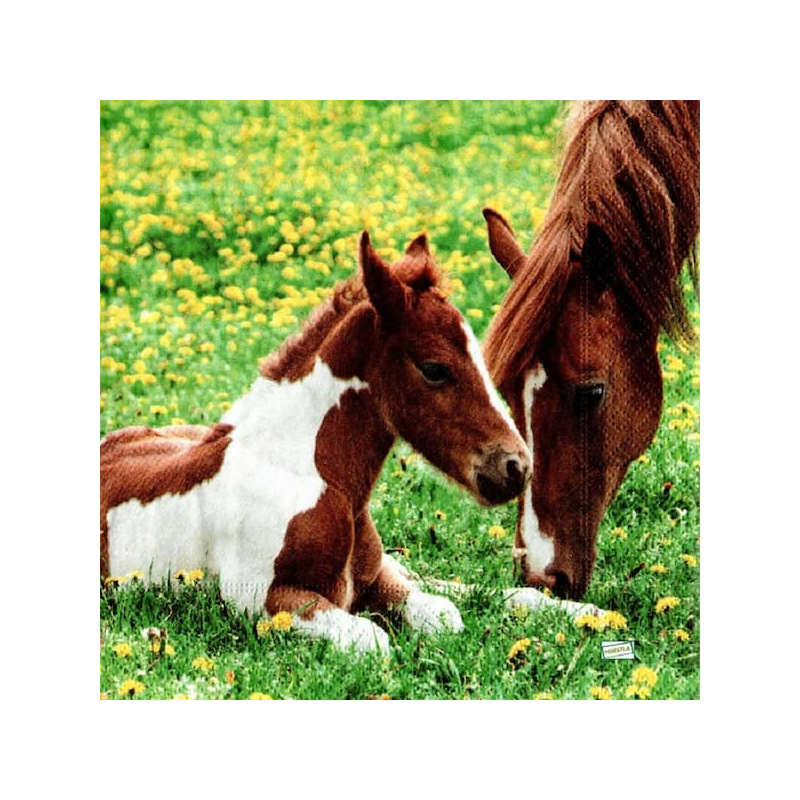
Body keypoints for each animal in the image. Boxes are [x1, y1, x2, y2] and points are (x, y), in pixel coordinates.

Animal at [101, 230, 535, 655]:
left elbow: (443, 615)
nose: (516, 466)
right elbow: (375, 640)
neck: (312, 476)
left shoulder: (375, 578)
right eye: (434, 368)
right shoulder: (261, 599)